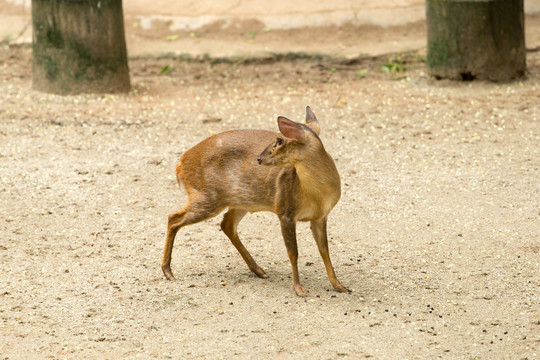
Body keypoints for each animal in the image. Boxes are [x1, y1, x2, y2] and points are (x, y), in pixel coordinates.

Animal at [160, 105, 348, 296]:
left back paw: (258, 270)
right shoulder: (285, 210)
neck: (316, 195)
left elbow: (325, 251)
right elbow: (293, 252)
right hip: (206, 196)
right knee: (173, 218)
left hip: (239, 200)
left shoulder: (321, 216)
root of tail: (181, 163)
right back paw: (167, 271)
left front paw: (339, 285)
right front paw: (299, 288)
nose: (259, 158)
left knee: (226, 224)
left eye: (279, 140)